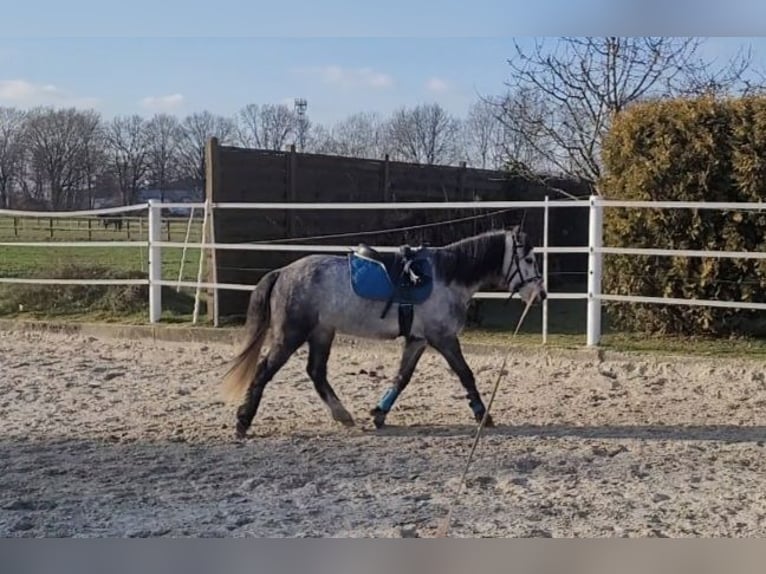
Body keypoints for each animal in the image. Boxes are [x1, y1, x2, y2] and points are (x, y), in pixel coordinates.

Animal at [220, 227, 544, 438]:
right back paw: (243, 422)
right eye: (529, 259)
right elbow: (465, 374)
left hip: (322, 333)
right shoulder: (443, 338)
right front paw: (483, 415)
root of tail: (283, 273)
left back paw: (343, 415)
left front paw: (379, 414)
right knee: (265, 371)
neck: (447, 276)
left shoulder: (418, 340)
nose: (540, 295)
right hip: (291, 335)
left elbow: (402, 377)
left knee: (316, 372)